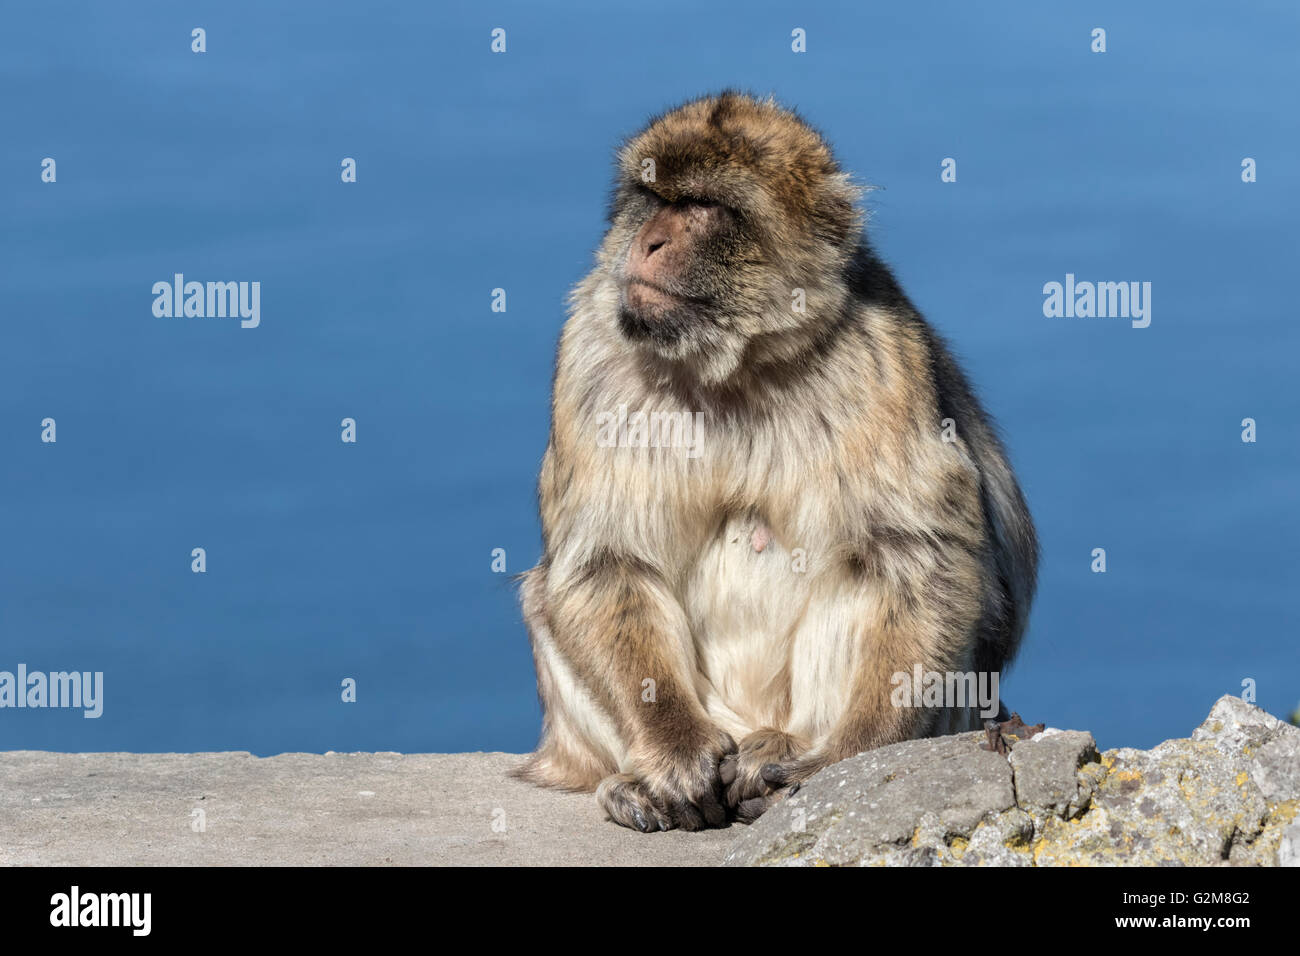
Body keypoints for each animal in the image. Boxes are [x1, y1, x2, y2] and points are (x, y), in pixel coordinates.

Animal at [514, 93, 1034, 832]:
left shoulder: (884, 358)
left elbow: (918, 557)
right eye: (652, 197)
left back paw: (781, 756)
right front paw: (675, 754)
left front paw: (847, 762)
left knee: (866, 570)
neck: (735, 368)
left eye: (703, 206)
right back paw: (632, 783)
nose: (648, 243)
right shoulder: (592, 350)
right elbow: (606, 563)